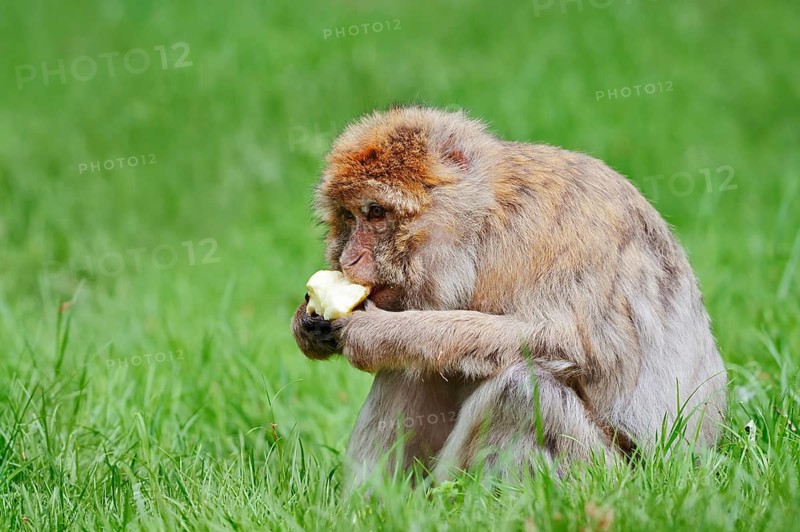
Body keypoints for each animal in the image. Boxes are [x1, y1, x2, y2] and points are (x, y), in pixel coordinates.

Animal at [291, 105, 728, 487]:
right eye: (348, 217)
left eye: (376, 213)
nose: (348, 258)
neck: (486, 227)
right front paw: (307, 323)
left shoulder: (560, 230)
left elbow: (571, 344)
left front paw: (373, 332)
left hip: (604, 473)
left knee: (521, 388)